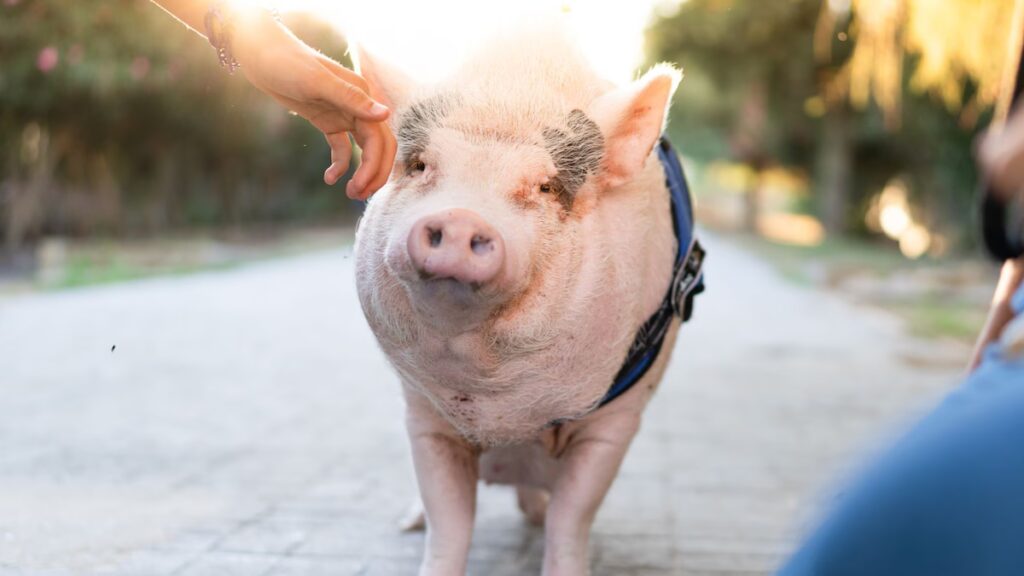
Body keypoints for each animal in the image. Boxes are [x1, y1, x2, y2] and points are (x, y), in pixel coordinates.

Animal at [353, 27, 698, 576]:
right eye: (421, 165)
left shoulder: (614, 423)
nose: (460, 218)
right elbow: (449, 521)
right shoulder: (424, 415)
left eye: (545, 186)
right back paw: (408, 524)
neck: (503, 420)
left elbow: (571, 517)